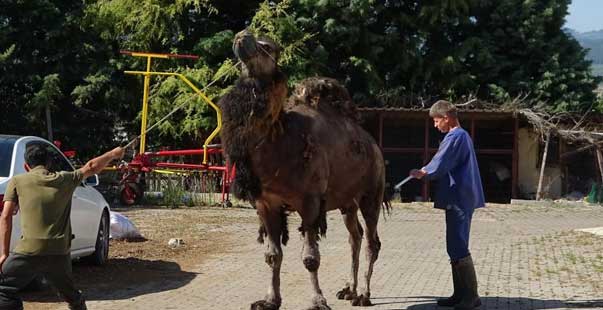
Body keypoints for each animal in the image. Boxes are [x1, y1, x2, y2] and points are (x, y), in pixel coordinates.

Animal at [219, 29, 390, 310]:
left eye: (267, 46)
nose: (241, 37)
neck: (280, 143)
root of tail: (374, 145)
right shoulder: (265, 204)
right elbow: (272, 255)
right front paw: (269, 300)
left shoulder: (310, 201)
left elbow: (310, 258)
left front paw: (318, 301)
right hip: (347, 202)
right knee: (354, 236)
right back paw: (349, 289)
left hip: (371, 192)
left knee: (371, 241)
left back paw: (363, 295)